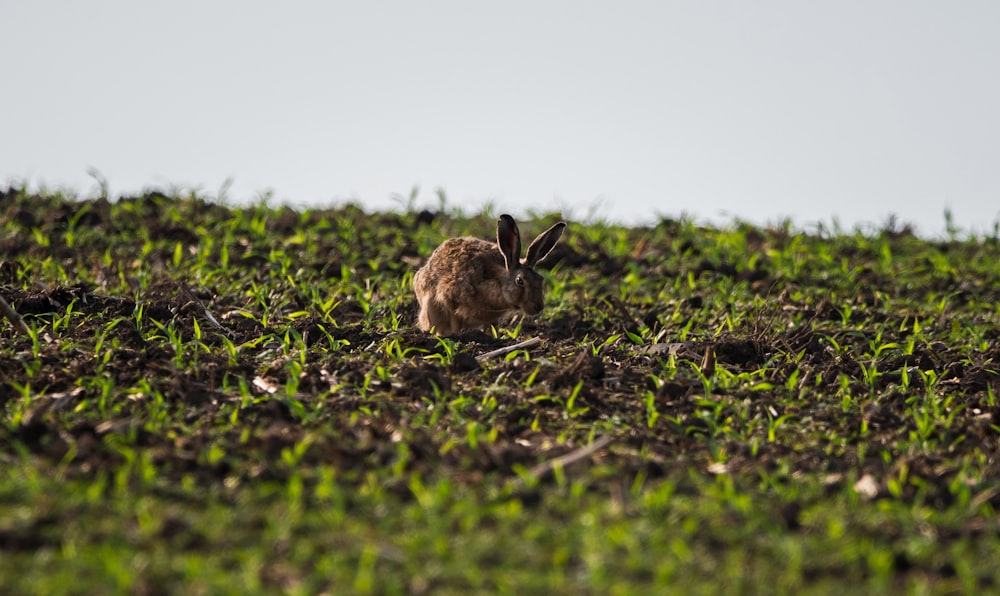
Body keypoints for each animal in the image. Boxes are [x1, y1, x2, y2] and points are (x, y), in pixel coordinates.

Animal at [414, 214, 568, 336]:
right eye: (520, 280)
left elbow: (492, 328)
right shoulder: (449, 299)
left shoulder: (491, 319)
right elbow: (455, 322)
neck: (497, 282)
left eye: (540, 279)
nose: (538, 308)